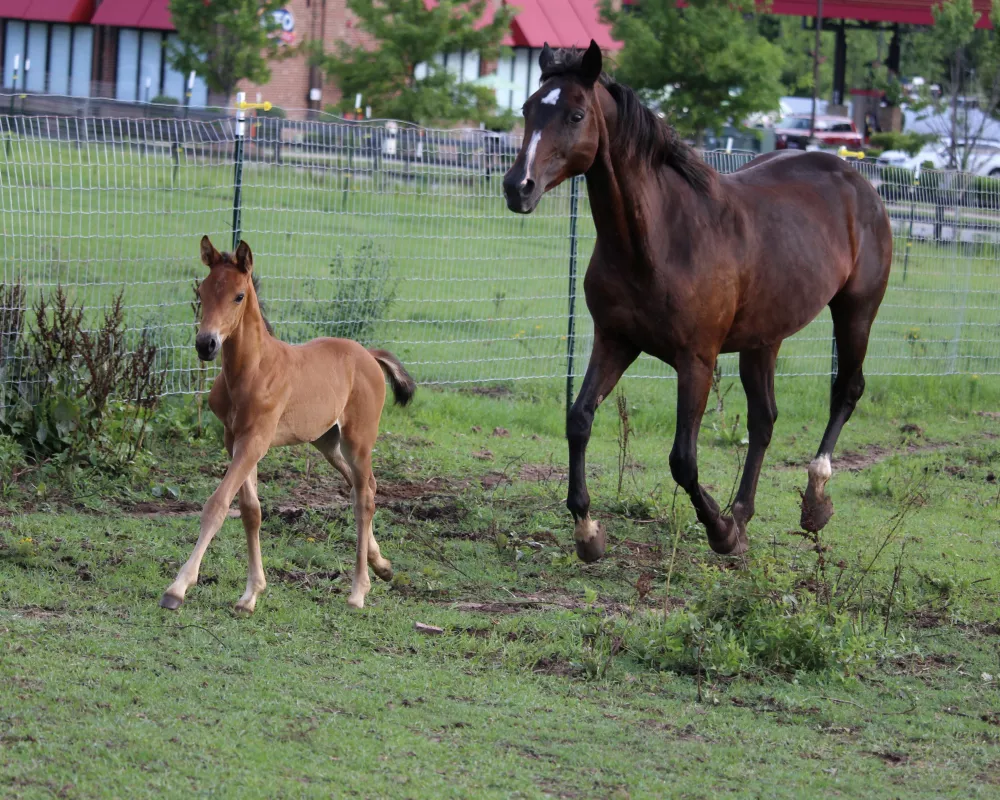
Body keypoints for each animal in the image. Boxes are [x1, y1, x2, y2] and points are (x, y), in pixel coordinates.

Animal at [159, 238, 414, 612]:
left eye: (238, 295)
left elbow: (217, 505)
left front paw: (177, 588)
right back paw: (381, 564)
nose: (205, 344)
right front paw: (250, 594)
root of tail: (368, 354)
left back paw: (358, 591)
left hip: (358, 440)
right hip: (327, 442)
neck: (251, 370)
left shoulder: (256, 440)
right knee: (364, 486)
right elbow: (250, 511)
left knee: (364, 499)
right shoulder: (236, 440)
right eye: (203, 291)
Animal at [504, 42, 896, 564]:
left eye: (576, 114)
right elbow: (579, 420)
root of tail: (857, 179)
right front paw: (588, 532)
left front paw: (720, 531)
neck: (660, 239)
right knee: (764, 419)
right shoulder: (614, 341)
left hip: (856, 312)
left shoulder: (697, 360)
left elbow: (683, 460)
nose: (517, 187)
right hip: (763, 339)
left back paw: (813, 501)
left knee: (846, 392)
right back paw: (744, 513)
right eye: (528, 109)